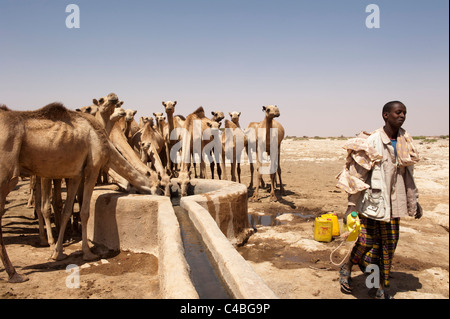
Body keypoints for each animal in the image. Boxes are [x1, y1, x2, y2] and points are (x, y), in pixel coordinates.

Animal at [0, 102, 158, 282]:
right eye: (157, 183)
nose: (162, 192)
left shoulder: (76, 174)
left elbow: (67, 210)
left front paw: (58, 253)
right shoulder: (92, 168)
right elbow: (84, 211)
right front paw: (88, 252)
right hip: (8, 176)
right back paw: (14, 273)